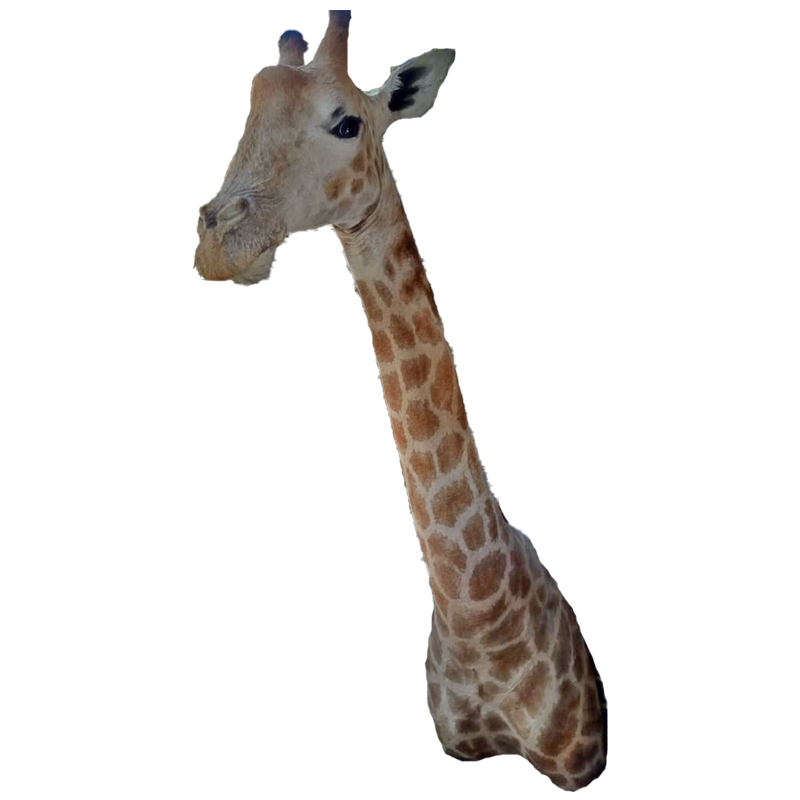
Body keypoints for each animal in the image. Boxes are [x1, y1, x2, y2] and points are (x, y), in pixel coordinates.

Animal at [195, 12, 606, 790]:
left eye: (348, 122)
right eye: (253, 101)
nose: (217, 244)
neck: (477, 612)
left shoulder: (575, 759)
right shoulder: (457, 744)